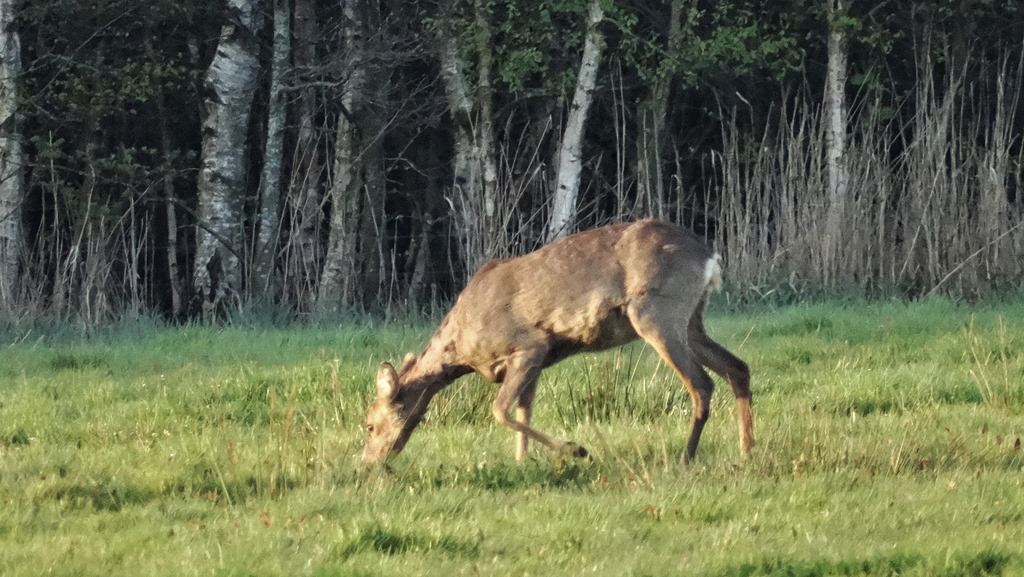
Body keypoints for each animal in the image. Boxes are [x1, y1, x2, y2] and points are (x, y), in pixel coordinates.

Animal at [362, 219, 753, 466]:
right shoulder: (536, 360)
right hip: (692, 320)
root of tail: (709, 257)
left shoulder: (528, 345)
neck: (460, 348)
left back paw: (686, 458)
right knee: (738, 367)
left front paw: (574, 449)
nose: (368, 462)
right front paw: (523, 462)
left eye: (368, 424)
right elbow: (523, 410)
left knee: (702, 384)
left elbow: (500, 410)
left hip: (656, 311)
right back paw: (747, 451)